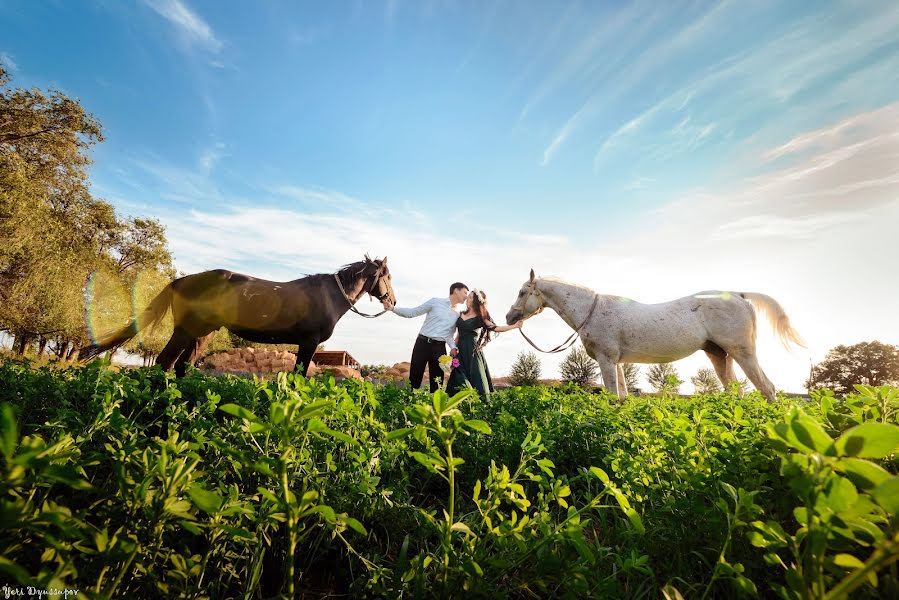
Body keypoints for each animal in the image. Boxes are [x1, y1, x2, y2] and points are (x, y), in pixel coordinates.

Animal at [79, 255, 396, 378]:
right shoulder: (308, 343)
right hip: (185, 331)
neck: (328, 296)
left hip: (203, 333)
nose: (392, 301)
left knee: (182, 366)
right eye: (388, 277)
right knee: (165, 362)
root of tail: (181, 281)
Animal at [502, 270, 804, 404]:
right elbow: (623, 397)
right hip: (719, 355)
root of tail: (739, 295)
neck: (592, 310)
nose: (508, 317)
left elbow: (613, 396)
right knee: (736, 392)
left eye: (522, 292)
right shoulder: (617, 363)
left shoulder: (606, 360)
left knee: (767, 388)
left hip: (744, 353)